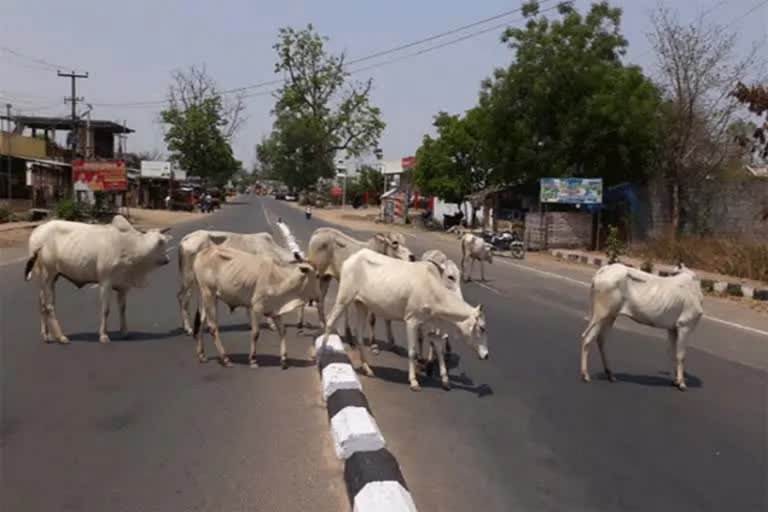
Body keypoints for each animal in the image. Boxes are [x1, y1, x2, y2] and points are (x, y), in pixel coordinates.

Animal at [26, 216, 172, 344]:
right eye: (161, 243)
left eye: (165, 242)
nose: (167, 260)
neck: (130, 246)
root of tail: (36, 233)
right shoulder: (105, 282)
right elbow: (105, 309)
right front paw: (103, 336)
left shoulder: (123, 286)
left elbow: (123, 308)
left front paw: (125, 332)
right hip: (48, 275)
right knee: (49, 306)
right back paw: (61, 337)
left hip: (45, 278)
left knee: (41, 304)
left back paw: (46, 335)